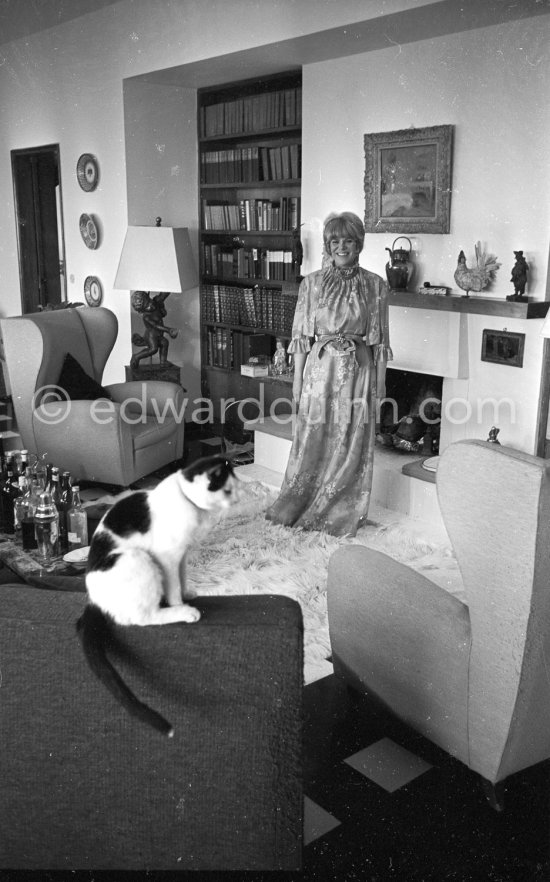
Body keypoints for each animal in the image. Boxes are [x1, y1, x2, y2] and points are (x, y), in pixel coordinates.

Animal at [77, 454, 239, 736]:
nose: (238, 498)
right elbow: (173, 587)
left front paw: (188, 592)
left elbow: (182, 577)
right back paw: (183, 613)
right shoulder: (168, 556)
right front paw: (180, 602)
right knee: (144, 618)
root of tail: (93, 601)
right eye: (228, 490)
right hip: (139, 560)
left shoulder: (182, 555)